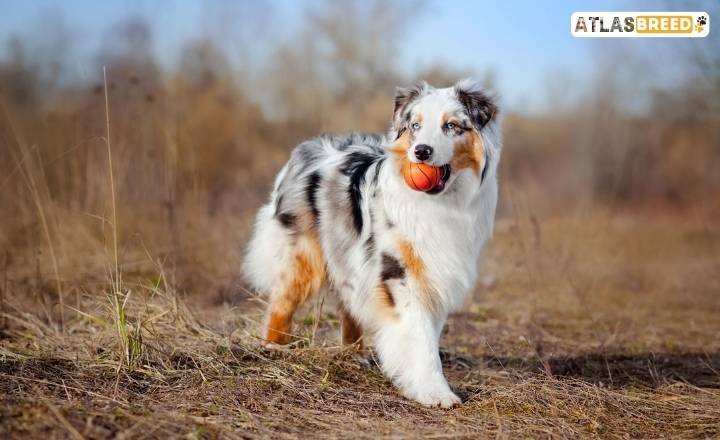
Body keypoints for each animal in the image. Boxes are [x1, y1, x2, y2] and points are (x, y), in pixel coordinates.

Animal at [242, 78, 500, 406]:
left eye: (451, 126)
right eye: (415, 126)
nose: (421, 151)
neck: (441, 203)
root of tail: (308, 147)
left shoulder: (435, 274)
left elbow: (427, 333)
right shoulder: (399, 273)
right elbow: (420, 337)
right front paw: (435, 392)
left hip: (348, 256)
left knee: (348, 303)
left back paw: (354, 354)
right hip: (304, 255)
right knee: (283, 301)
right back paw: (274, 347)